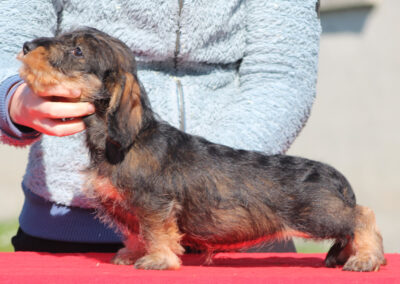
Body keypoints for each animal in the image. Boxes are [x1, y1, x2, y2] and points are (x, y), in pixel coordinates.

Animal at [18, 27, 384, 272]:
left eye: (78, 51)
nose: (26, 45)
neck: (119, 140)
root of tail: (334, 176)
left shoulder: (155, 204)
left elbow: (156, 232)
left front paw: (158, 260)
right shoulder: (134, 207)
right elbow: (137, 232)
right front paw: (132, 254)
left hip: (319, 215)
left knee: (363, 216)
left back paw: (366, 257)